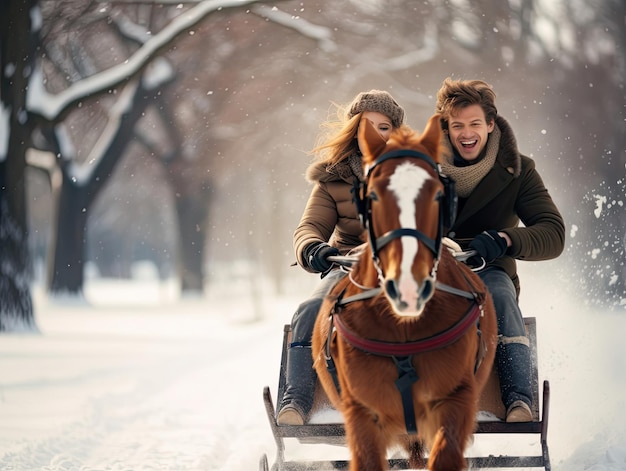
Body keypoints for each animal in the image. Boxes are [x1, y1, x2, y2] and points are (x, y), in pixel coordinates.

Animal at [310, 115, 494, 471]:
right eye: (373, 196)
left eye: (438, 194)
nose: (409, 287)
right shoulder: (362, 412)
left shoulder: (455, 399)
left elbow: (446, 455)